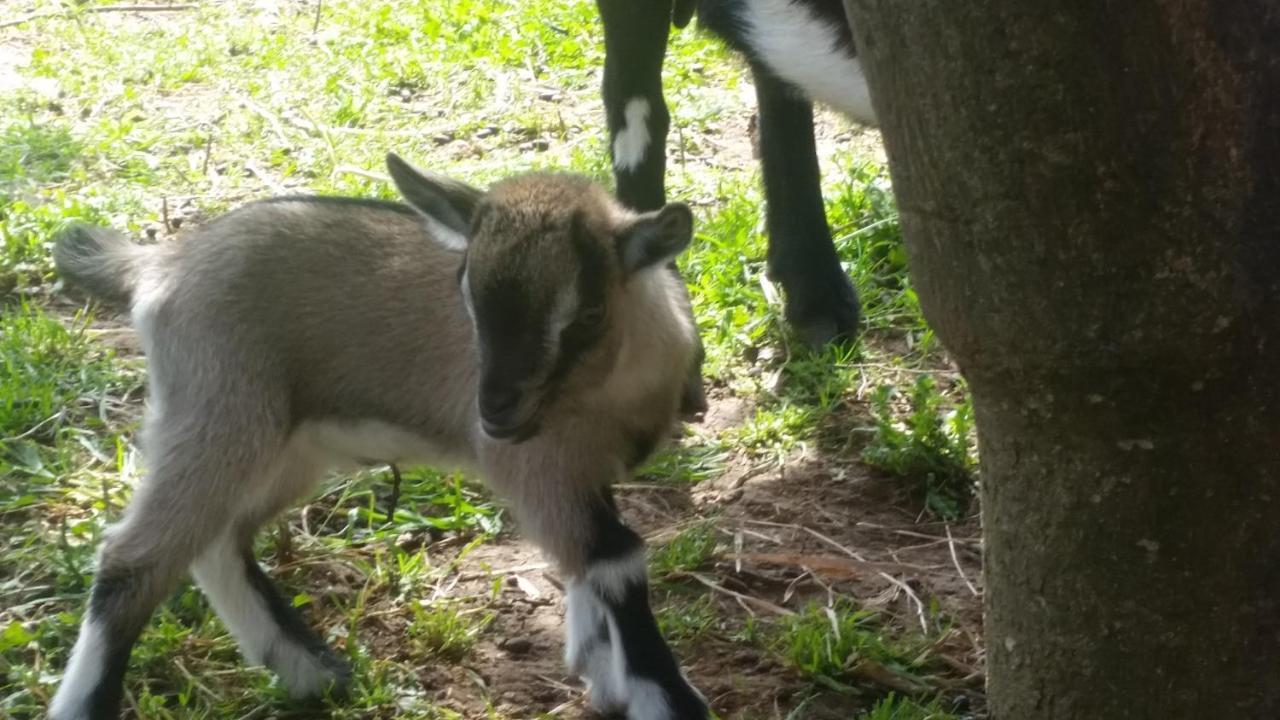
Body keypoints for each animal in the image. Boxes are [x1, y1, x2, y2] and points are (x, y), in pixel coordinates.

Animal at [49, 152, 706, 717]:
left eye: (589, 314)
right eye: (466, 291)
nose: (492, 413)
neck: (613, 385)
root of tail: (163, 264)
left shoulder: (583, 475)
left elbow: (584, 565)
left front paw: (600, 673)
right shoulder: (539, 467)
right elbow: (613, 557)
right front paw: (663, 697)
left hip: (284, 448)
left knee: (215, 542)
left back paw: (309, 671)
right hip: (218, 409)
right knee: (135, 557)